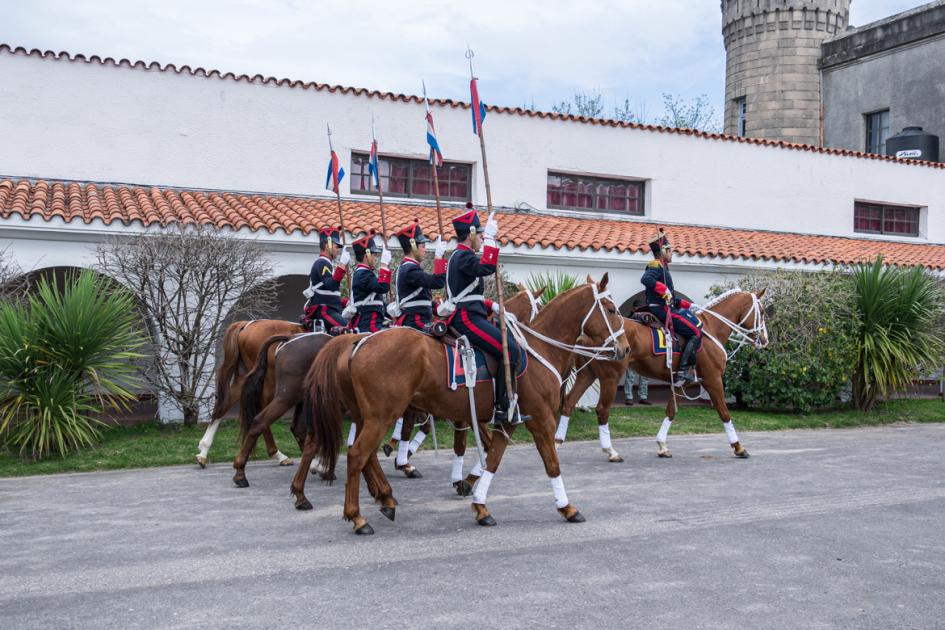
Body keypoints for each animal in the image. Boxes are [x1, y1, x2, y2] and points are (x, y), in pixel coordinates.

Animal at [194, 320, 304, 470]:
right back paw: (278, 455)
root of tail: (246, 324)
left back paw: (203, 451)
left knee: (223, 407)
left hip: (245, 378)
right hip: (269, 380)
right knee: (261, 411)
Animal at [302, 274, 628, 536]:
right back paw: (357, 516)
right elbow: (551, 464)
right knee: (356, 455)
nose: (624, 349)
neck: (537, 350)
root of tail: (358, 342)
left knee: (363, 454)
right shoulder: (540, 420)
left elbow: (493, 458)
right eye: (612, 310)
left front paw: (480, 505)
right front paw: (567, 507)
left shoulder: (506, 420)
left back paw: (385, 497)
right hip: (381, 415)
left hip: (368, 416)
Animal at [560, 290, 768, 460]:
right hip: (610, 377)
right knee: (602, 409)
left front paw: (662, 445)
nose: (765, 340)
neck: (711, 328)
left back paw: (558, 440)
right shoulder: (713, 379)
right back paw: (611, 451)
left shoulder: (681, 383)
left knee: (569, 402)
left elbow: (671, 410)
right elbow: (724, 412)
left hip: (587, 374)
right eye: (763, 311)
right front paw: (739, 447)